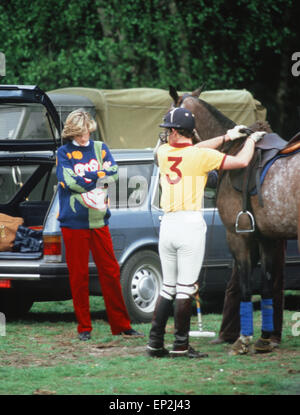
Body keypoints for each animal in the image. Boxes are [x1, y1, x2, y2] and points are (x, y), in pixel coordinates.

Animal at [168, 84, 298, 354]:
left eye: (167, 116)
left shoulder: (238, 236)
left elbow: (247, 285)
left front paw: (243, 340)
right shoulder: (266, 238)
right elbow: (267, 286)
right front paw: (264, 339)